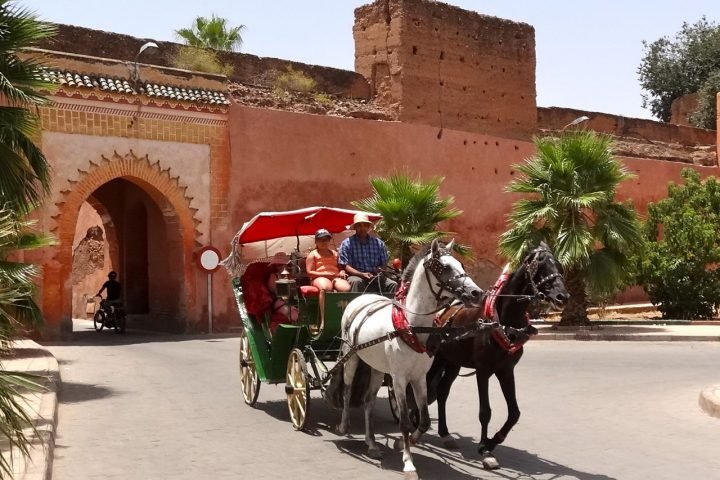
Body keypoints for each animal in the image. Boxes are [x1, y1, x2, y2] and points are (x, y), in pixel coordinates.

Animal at [337, 239, 484, 479]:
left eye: (461, 264)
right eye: (444, 267)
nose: (476, 293)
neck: (411, 326)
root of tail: (361, 298)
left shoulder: (419, 377)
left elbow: (423, 420)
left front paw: (403, 443)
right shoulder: (399, 378)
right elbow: (405, 422)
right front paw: (408, 462)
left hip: (377, 368)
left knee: (368, 401)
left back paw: (372, 443)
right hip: (352, 357)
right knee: (348, 391)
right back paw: (343, 426)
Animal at [424, 242, 568, 469]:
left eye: (560, 267)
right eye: (541, 266)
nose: (563, 297)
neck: (503, 321)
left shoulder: (506, 370)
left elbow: (514, 413)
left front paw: (492, 441)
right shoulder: (483, 370)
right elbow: (485, 411)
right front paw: (485, 449)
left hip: (453, 362)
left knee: (441, 391)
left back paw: (445, 434)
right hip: (436, 358)